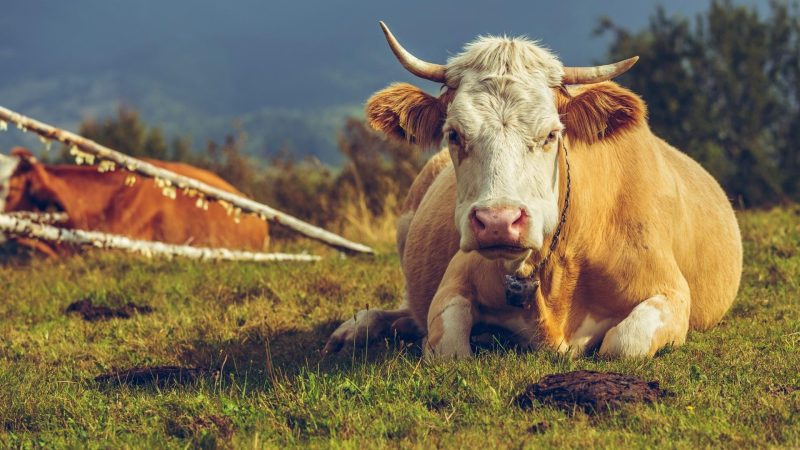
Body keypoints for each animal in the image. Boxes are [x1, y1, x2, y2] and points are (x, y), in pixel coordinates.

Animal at [325, 23, 743, 360]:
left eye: (551, 134)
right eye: (454, 134)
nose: (498, 221)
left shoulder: (671, 291)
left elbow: (624, 344)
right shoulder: (454, 281)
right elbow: (448, 347)